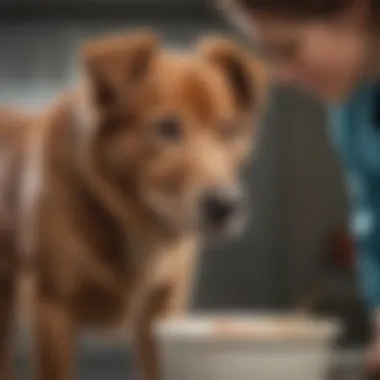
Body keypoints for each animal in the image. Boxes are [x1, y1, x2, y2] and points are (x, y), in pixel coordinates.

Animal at [0, 30, 266, 380]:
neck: (136, 222)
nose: (225, 205)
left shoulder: (162, 314)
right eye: (167, 127)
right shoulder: (52, 310)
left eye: (229, 130)